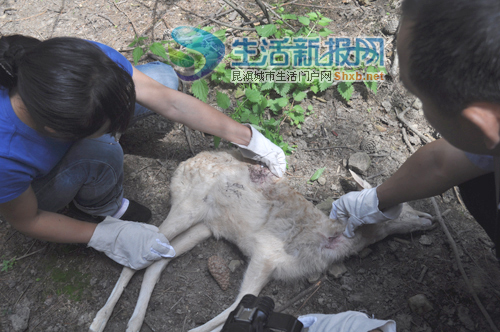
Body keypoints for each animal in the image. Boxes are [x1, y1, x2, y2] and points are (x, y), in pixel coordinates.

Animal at [88, 150, 432, 332]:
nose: (428, 219)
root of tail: (186, 161)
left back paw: (133, 324)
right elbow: (236, 305)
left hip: (207, 226)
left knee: (156, 263)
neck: (324, 240)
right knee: (137, 257)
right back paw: (99, 321)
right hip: (188, 205)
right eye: (401, 209)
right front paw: (197, 330)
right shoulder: (265, 255)